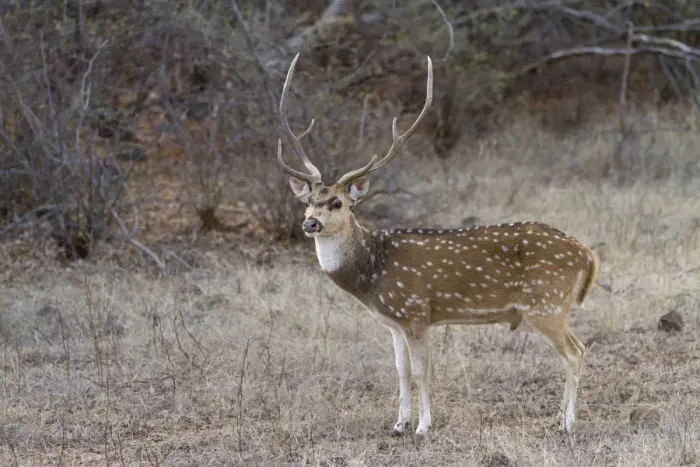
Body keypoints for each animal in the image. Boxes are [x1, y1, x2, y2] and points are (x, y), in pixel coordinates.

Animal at [276, 53, 599, 438]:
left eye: (337, 203)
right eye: (307, 201)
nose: (310, 223)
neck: (372, 272)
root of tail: (588, 256)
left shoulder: (416, 311)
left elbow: (421, 370)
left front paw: (423, 427)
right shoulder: (394, 321)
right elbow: (400, 370)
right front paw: (399, 423)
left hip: (546, 304)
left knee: (576, 351)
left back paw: (566, 423)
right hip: (550, 306)